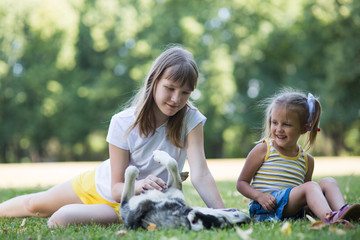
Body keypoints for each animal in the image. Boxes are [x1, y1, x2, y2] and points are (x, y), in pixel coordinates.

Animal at [119, 150, 249, 231]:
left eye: (224, 222)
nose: (248, 219)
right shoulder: (175, 189)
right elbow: (173, 164)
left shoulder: (126, 203)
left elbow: (131, 171)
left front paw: (157, 155)